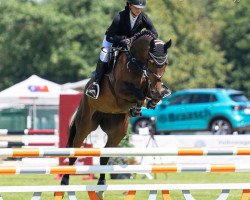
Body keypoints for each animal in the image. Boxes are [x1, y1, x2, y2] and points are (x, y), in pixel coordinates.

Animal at [60, 30, 172, 196]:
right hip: (85, 124)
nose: (157, 89)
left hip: (117, 131)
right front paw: (139, 106)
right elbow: (139, 95)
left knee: (105, 157)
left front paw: (151, 101)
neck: (136, 64)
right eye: (151, 62)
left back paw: (100, 186)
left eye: (165, 64)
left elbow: (148, 95)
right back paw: (64, 182)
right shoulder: (120, 90)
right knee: (75, 150)